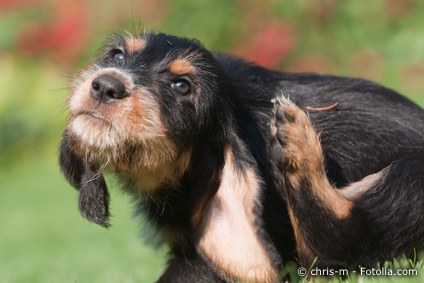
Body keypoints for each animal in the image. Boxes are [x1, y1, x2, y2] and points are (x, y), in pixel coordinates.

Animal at [58, 31, 424, 283]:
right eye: (117, 55)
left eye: (182, 86)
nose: (105, 85)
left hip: (409, 180)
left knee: (338, 239)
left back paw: (298, 143)